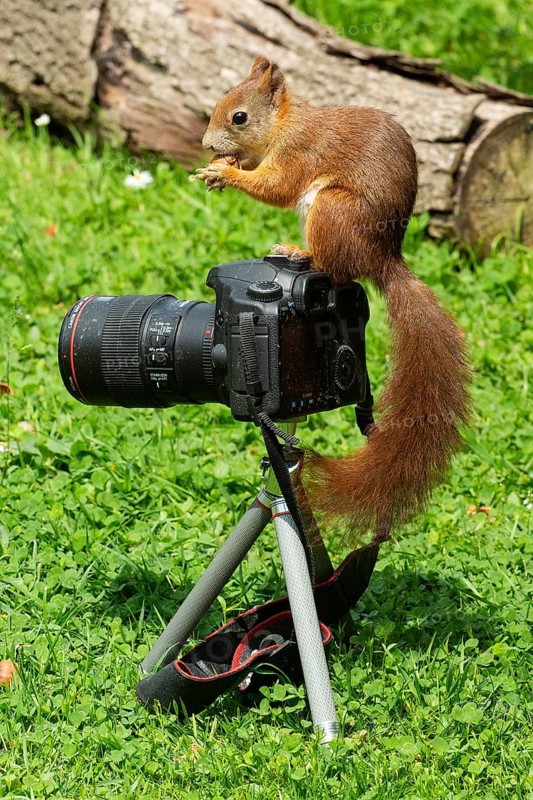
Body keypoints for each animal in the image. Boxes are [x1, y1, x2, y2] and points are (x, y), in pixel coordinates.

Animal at [193, 56, 471, 543]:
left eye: (239, 117)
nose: (208, 144)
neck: (284, 123)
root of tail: (382, 259)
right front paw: (225, 166)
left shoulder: (299, 153)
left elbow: (277, 186)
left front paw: (226, 172)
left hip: (330, 211)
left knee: (335, 266)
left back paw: (299, 252)